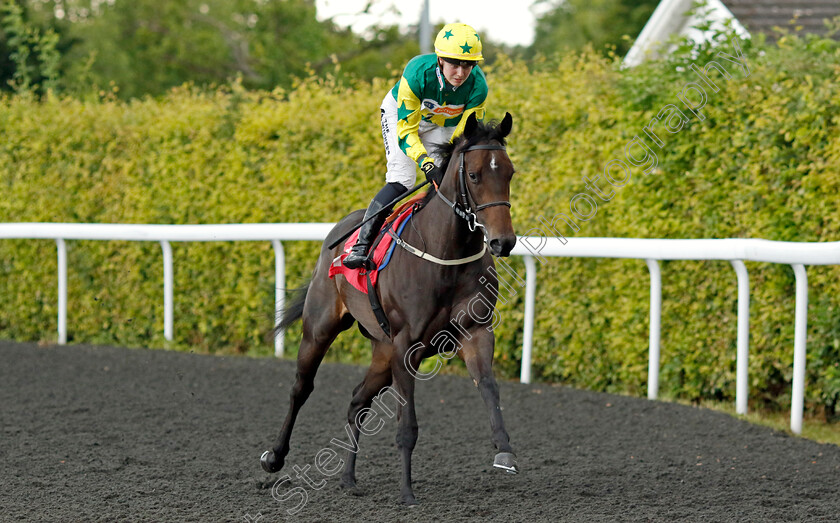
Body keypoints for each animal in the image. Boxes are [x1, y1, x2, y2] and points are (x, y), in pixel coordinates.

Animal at [264, 112, 520, 506]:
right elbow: (407, 424)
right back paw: (274, 457)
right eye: (475, 175)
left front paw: (504, 451)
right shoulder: (406, 345)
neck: (446, 254)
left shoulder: (474, 332)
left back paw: (348, 478)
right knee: (300, 389)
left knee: (358, 401)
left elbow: (489, 388)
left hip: (382, 352)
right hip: (320, 329)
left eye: (509, 173)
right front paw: (406, 492)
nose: (502, 242)